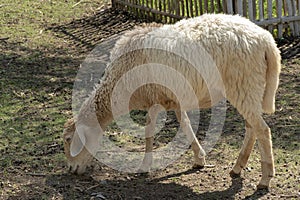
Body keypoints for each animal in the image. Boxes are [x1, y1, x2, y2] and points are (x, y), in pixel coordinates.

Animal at [63, 13, 282, 189]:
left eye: (67, 139)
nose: (71, 170)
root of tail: (266, 39)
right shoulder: (172, 99)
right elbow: (184, 124)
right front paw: (199, 158)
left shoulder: (154, 98)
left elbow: (149, 132)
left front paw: (144, 166)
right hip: (247, 88)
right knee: (251, 127)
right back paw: (237, 168)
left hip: (245, 84)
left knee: (262, 130)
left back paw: (265, 179)